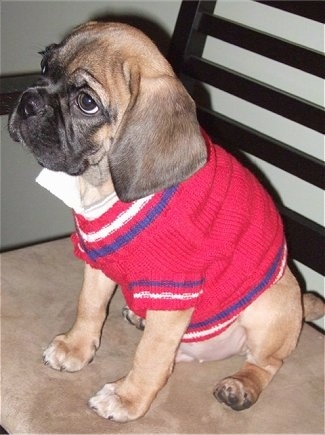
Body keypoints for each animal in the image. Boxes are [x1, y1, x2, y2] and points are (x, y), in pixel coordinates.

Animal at [8, 21, 322, 422]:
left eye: (87, 103)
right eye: (44, 64)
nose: (28, 101)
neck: (102, 186)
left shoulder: (174, 289)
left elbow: (149, 355)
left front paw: (127, 398)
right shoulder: (99, 262)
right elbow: (89, 306)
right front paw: (76, 348)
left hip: (268, 307)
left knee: (266, 363)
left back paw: (241, 386)